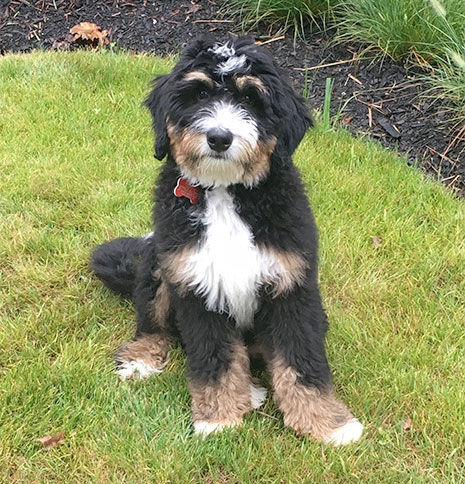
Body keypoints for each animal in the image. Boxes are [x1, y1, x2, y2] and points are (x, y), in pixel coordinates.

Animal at [90, 36, 364, 446]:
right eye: (200, 93)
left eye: (251, 99)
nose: (219, 137)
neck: (226, 191)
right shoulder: (196, 286)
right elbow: (215, 358)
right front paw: (218, 418)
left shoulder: (291, 287)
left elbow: (300, 360)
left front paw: (328, 423)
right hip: (157, 264)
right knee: (154, 325)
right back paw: (142, 359)